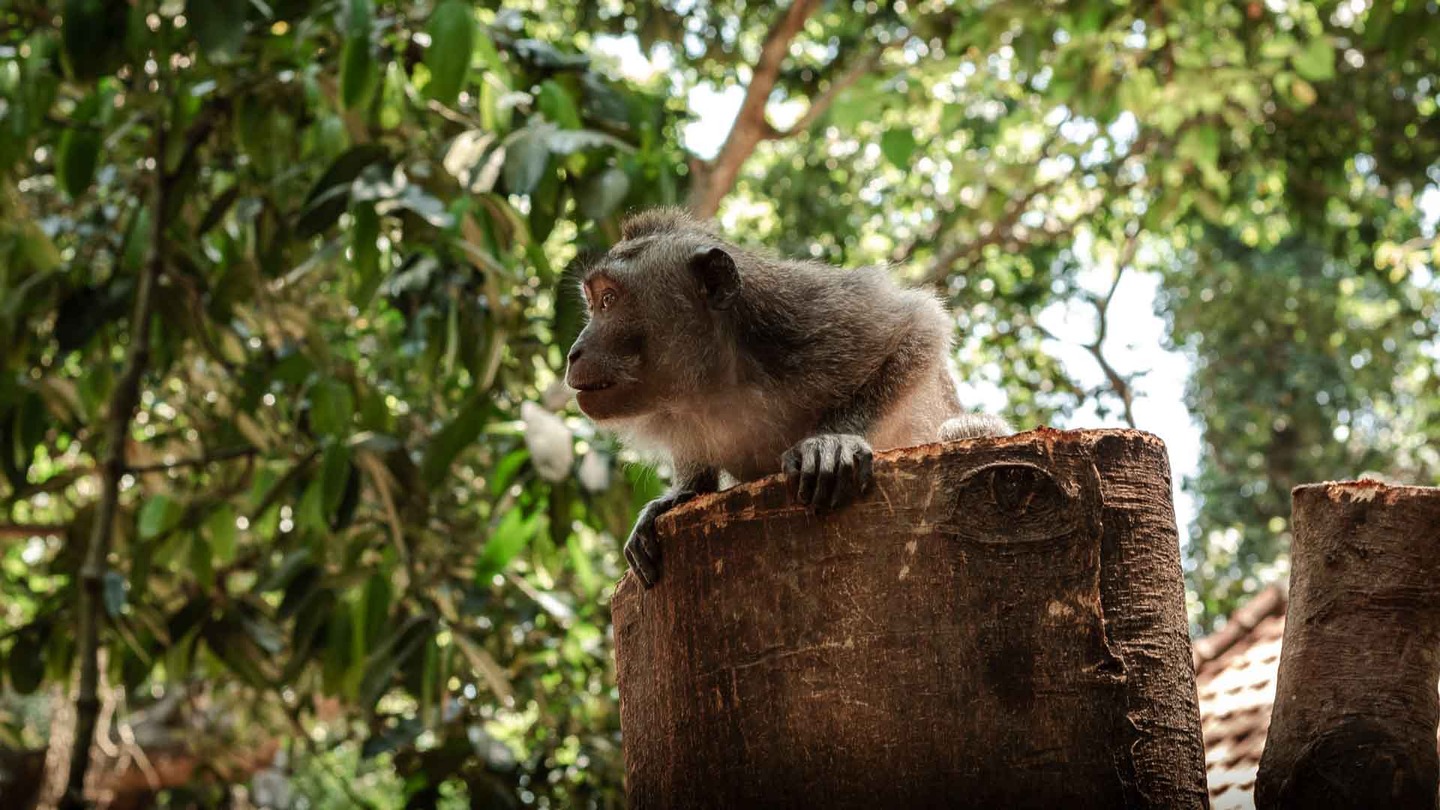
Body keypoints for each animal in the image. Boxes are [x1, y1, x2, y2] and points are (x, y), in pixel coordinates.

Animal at [564, 208, 1011, 588]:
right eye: (594, 302)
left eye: (608, 300)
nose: (573, 351)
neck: (722, 380)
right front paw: (681, 493)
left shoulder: (806, 318)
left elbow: (918, 325)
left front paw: (832, 441)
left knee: (960, 428)